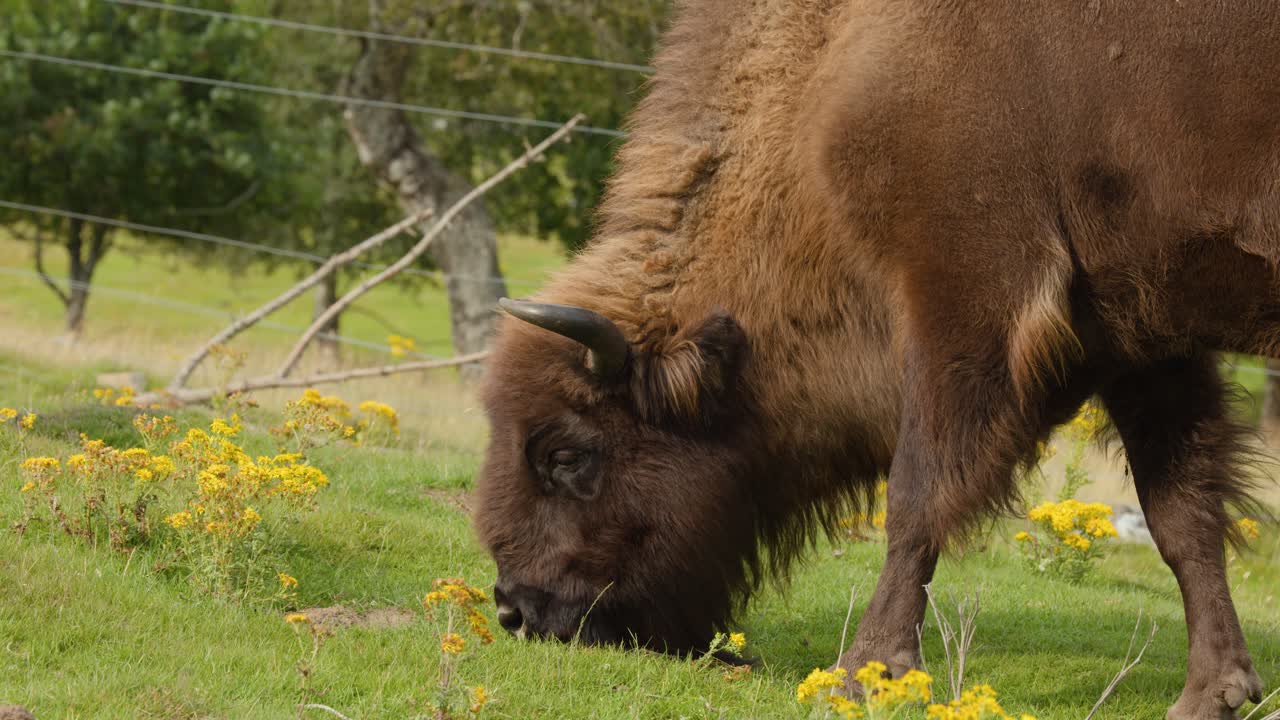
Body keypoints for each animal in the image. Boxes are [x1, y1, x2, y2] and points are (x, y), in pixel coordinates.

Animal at [473, 2, 1277, 718]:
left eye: (568, 455)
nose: (516, 610)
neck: (830, 68)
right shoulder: (1142, 341)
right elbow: (1182, 514)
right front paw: (1213, 694)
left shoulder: (964, 302)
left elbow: (917, 497)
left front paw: (862, 673)